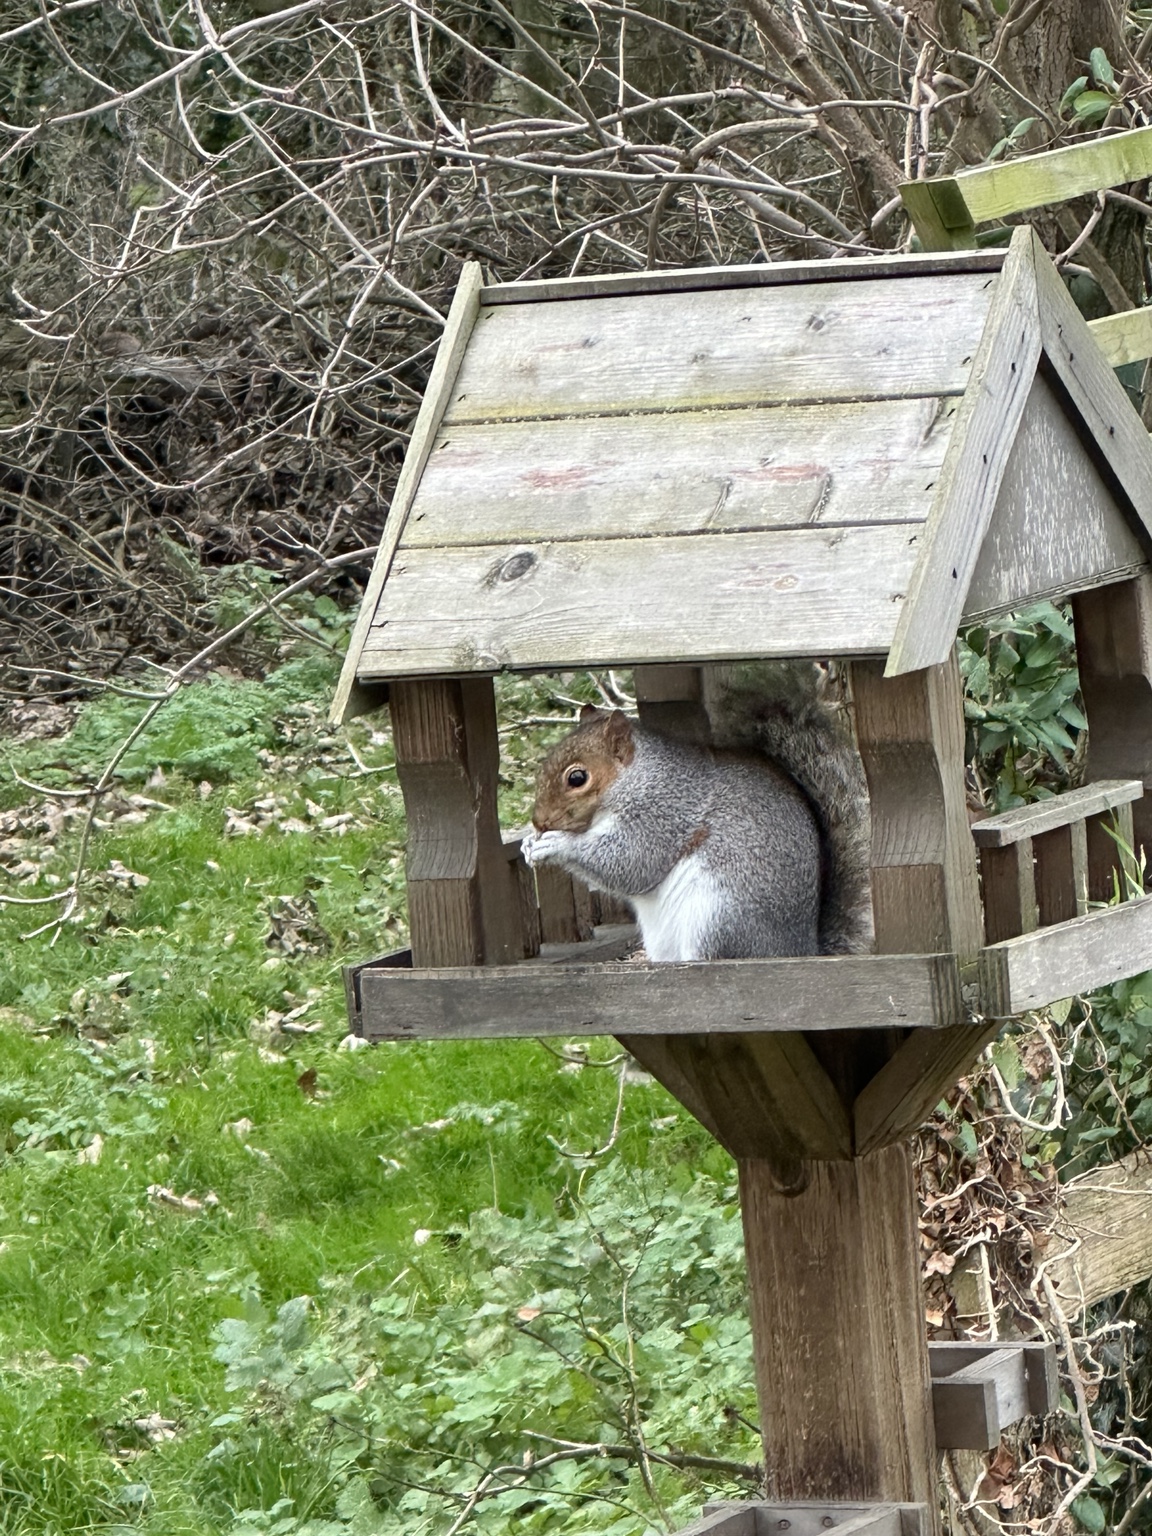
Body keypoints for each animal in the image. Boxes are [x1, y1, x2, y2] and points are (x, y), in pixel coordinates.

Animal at [520, 661, 873, 963]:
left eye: (577, 778)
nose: (539, 821)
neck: (634, 779)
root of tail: (799, 952)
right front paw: (527, 844)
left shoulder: (662, 813)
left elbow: (630, 862)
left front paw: (556, 844)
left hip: (718, 917)